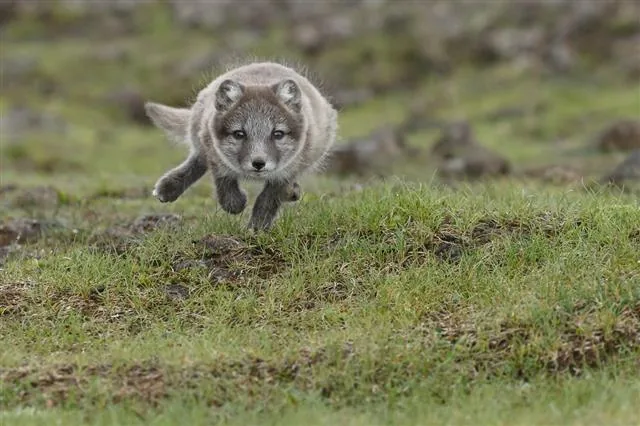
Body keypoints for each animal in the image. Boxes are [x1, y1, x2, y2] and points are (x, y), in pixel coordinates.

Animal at [145, 61, 338, 230]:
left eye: (278, 134)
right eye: (239, 134)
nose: (258, 163)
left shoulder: (287, 172)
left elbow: (267, 200)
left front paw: (257, 228)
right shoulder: (214, 152)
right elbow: (225, 187)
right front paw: (238, 203)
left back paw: (292, 192)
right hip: (200, 131)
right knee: (198, 159)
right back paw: (167, 188)